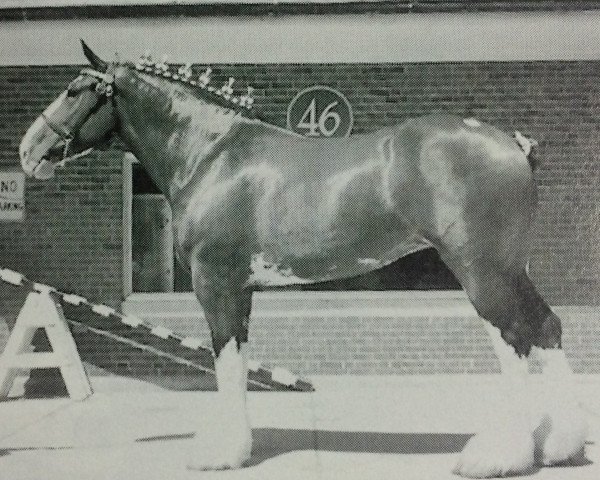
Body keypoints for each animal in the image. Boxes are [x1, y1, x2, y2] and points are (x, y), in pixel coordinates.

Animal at [18, 41, 584, 476]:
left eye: (75, 90)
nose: (27, 150)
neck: (212, 154)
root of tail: (512, 143)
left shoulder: (216, 283)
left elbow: (226, 361)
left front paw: (222, 452)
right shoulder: (240, 288)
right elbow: (237, 360)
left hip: (482, 272)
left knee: (515, 340)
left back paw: (498, 457)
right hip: (509, 271)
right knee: (545, 329)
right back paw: (558, 446)